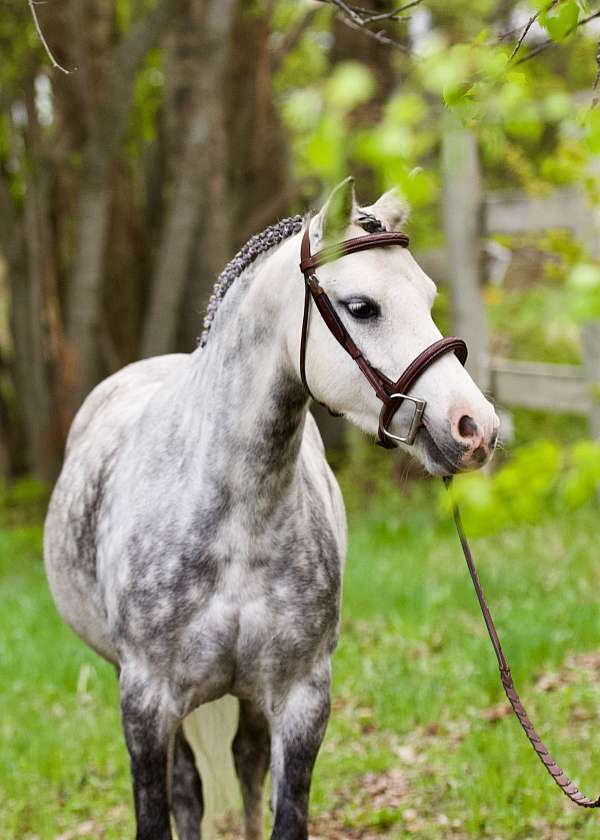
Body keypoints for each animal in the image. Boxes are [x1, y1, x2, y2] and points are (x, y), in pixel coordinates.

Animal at [44, 179, 500, 840]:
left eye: (428, 297)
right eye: (362, 306)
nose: (475, 427)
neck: (236, 519)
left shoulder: (300, 699)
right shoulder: (145, 702)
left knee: (244, 763)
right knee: (189, 787)